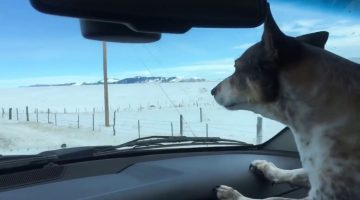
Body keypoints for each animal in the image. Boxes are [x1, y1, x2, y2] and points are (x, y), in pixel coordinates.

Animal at [211, 4, 360, 200]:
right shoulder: (315, 173)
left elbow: (272, 198)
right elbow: (295, 172)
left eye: (236, 67)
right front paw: (267, 169)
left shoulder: (326, 192)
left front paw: (233, 194)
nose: (212, 91)